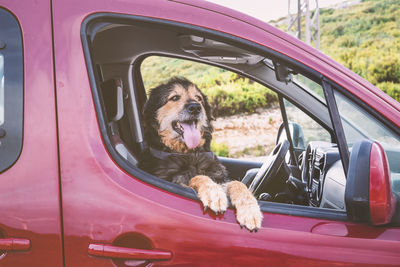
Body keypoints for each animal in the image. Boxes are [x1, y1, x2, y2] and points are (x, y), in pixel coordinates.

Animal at [138, 76, 262, 231]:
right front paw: (213, 193)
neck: (189, 153)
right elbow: (197, 177)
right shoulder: (173, 181)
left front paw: (250, 211)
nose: (195, 107)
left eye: (199, 98)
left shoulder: (219, 177)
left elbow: (237, 183)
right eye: (174, 97)